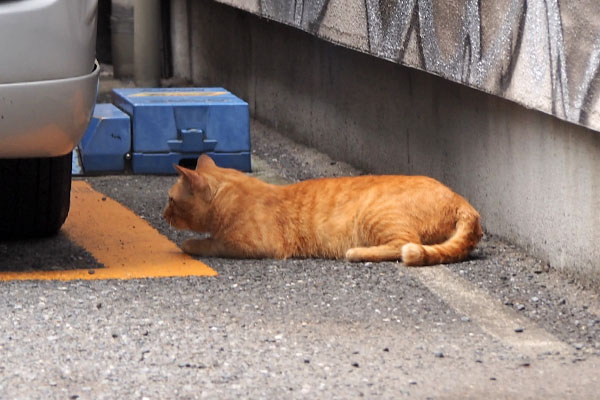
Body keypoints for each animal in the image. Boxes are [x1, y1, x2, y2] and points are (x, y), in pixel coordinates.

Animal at [164, 154, 482, 266]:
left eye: (170, 200)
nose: (164, 215)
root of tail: (463, 202)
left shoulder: (250, 244)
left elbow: (208, 243)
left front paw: (190, 243)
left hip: (377, 217)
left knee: (404, 245)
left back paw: (356, 253)